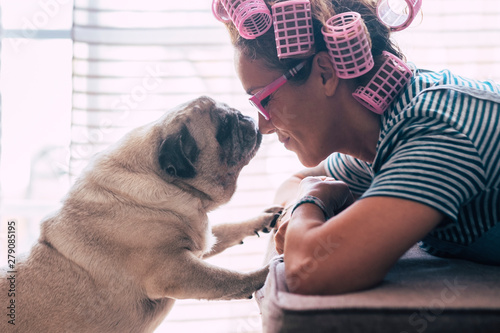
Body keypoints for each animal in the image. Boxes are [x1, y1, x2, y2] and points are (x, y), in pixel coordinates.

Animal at [0, 96, 282, 332]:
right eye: (222, 128)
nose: (243, 115)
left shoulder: (199, 243)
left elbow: (227, 229)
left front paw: (262, 219)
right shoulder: (175, 270)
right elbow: (225, 278)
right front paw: (266, 273)